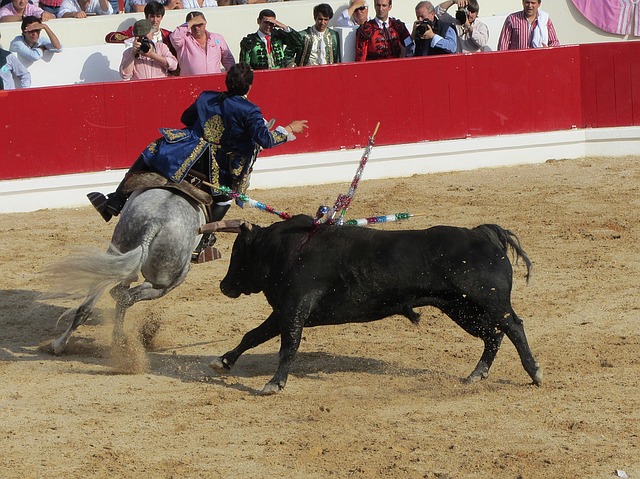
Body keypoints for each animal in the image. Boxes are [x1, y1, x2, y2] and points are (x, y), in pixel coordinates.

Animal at [48, 188, 232, 356]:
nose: (211, 239)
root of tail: (155, 223)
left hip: (116, 254)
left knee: (91, 305)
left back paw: (60, 344)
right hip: (167, 282)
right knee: (127, 297)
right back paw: (120, 340)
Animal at [212, 216, 544, 396]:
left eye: (238, 252)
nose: (224, 286)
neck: (287, 249)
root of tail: (480, 234)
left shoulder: (295, 307)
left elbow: (288, 346)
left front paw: (274, 383)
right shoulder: (283, 311)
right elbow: (253, 335)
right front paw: (223, 361)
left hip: (489, 302)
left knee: (513, 327)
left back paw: (534, 373)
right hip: (461, 309)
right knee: (493, 335)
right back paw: (477, 373)